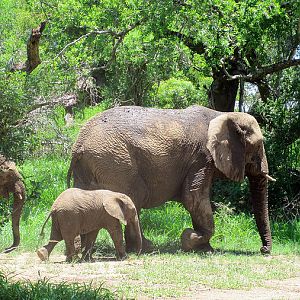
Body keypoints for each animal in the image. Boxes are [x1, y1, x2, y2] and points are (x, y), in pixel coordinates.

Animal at [67, 104, 276, 254]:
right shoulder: (201, 158)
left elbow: (195, 200)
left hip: (91, 167)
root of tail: (78, 145)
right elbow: (194, 199)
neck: (223, 114)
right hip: (115, 162)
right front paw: (190, 240)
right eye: (258, 147)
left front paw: (204, 248)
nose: (263, 250)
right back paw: (144, 249)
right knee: (135, 196)